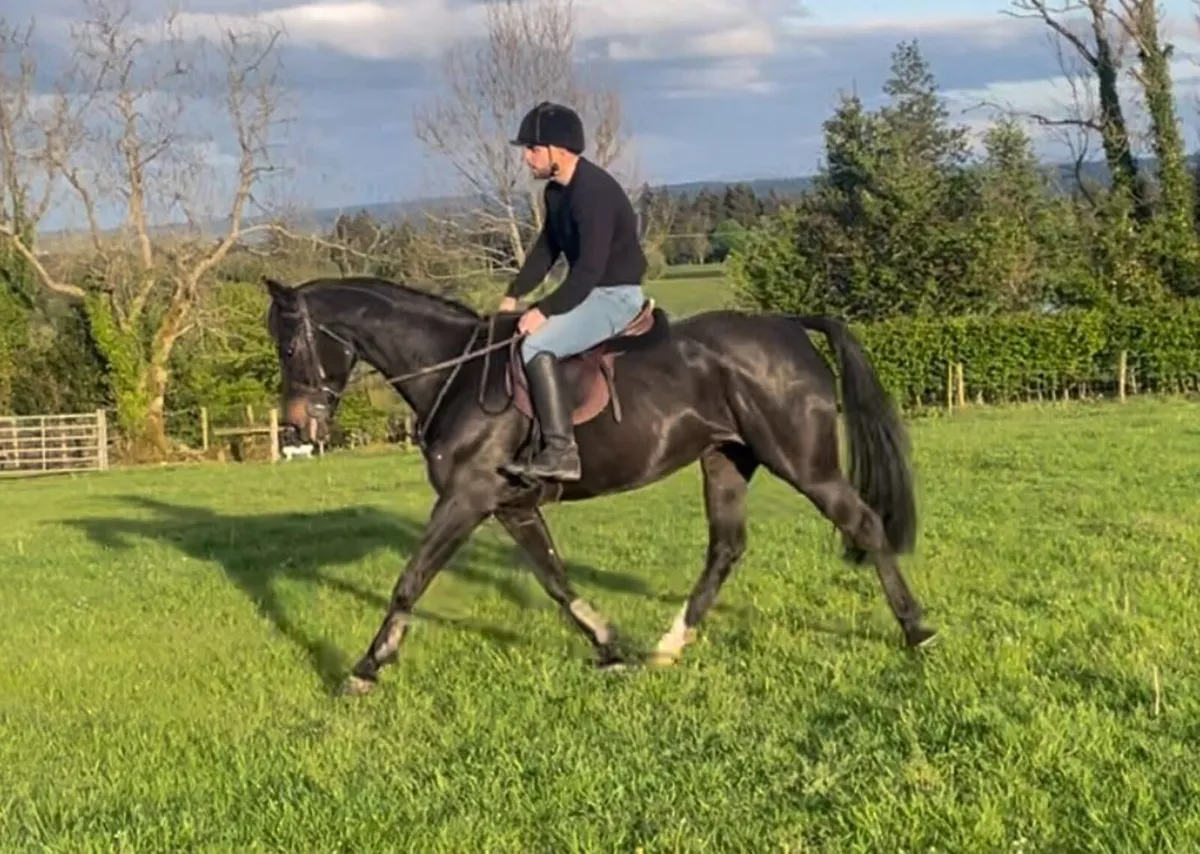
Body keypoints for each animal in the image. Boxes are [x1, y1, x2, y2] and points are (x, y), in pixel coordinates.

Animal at [262, 274, 938, 696]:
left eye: (290, 345)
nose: (297, 427)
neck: (457, 375)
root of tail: (790, 326)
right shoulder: (509, 506)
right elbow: (556, 581)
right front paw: (610, 646)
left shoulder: (465, 499)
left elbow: (411, 580)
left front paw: (365, 668)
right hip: (725, 459)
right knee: (726, 547)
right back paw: (669, 646)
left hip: (803, 462)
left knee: (864, 523)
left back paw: (917, 631)